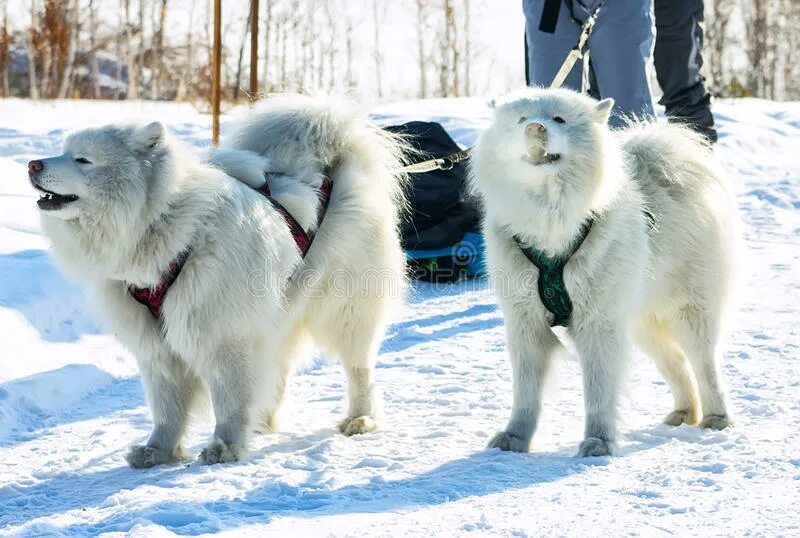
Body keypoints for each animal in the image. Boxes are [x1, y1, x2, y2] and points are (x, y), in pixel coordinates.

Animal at [28, 95, 410, 464]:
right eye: (63, 151)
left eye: (83, 159)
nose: (33, 164)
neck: (163, 227)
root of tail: (333, 170)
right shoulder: (157, 347)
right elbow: (166, 408)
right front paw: (157, 451)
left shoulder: (225, 335)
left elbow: (228, 400)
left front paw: (225, 447)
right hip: (281, 310)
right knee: (279, 369)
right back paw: (264, 421)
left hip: (344, 310)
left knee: (358, 368)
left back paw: (359, 419)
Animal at [472, 88, 740, 456]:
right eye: (521, 120)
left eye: (559, 119)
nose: (535, 128)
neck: (550, 221)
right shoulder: (525, 322)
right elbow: (526, 391)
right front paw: (514, 437)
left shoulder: (598, 323)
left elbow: (599, 390)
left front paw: (598, 441)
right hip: (643, 323)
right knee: (677, 364)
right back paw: (684, 412)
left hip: (690, 312)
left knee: (705, 366)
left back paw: (716, 418)